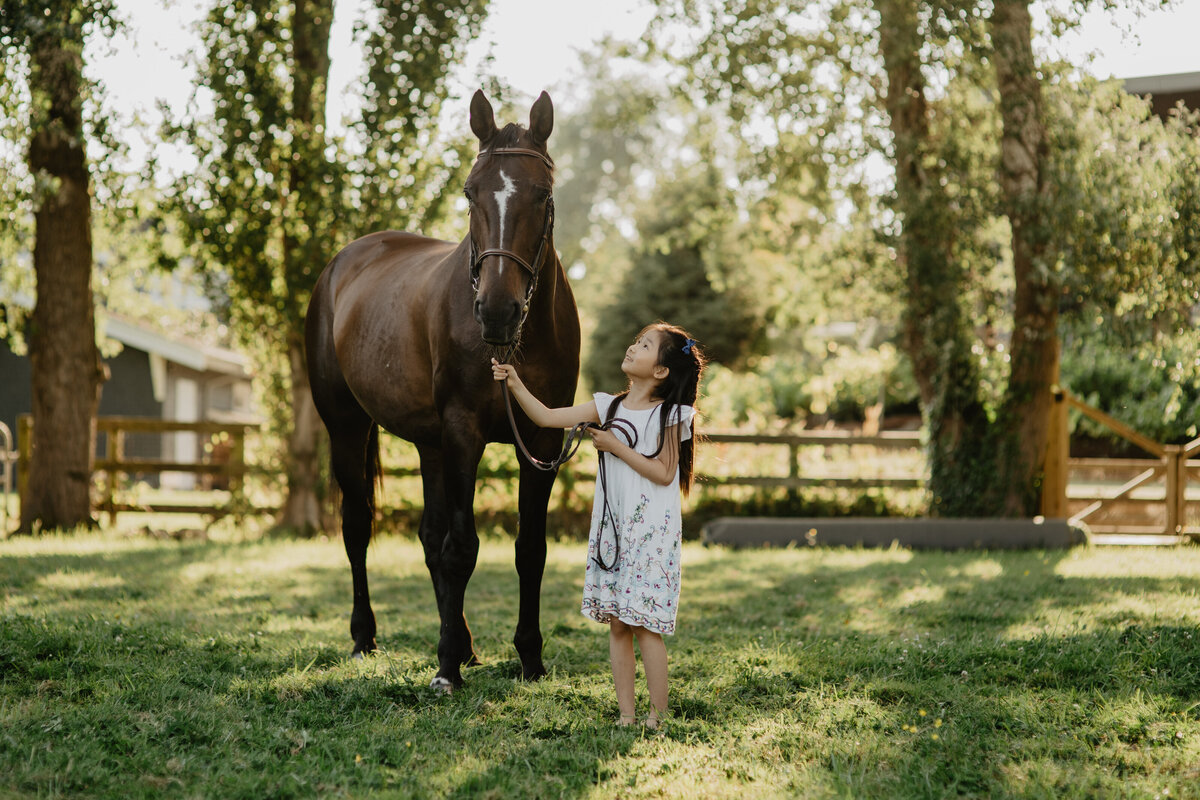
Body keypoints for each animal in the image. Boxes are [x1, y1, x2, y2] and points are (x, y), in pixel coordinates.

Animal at [302, 89, 578, 690]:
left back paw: (466, 643)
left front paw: (529, 658)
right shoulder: (462, 434)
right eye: (471, 192)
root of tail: (341, 262)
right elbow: (462, 549)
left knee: (430, 538)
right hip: (348, 427)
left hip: (429, 444)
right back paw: (366, 638)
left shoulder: (540, 442)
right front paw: (446, 667)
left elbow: (529, 549)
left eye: (543, 194)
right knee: (358, 526)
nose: (496, 312)